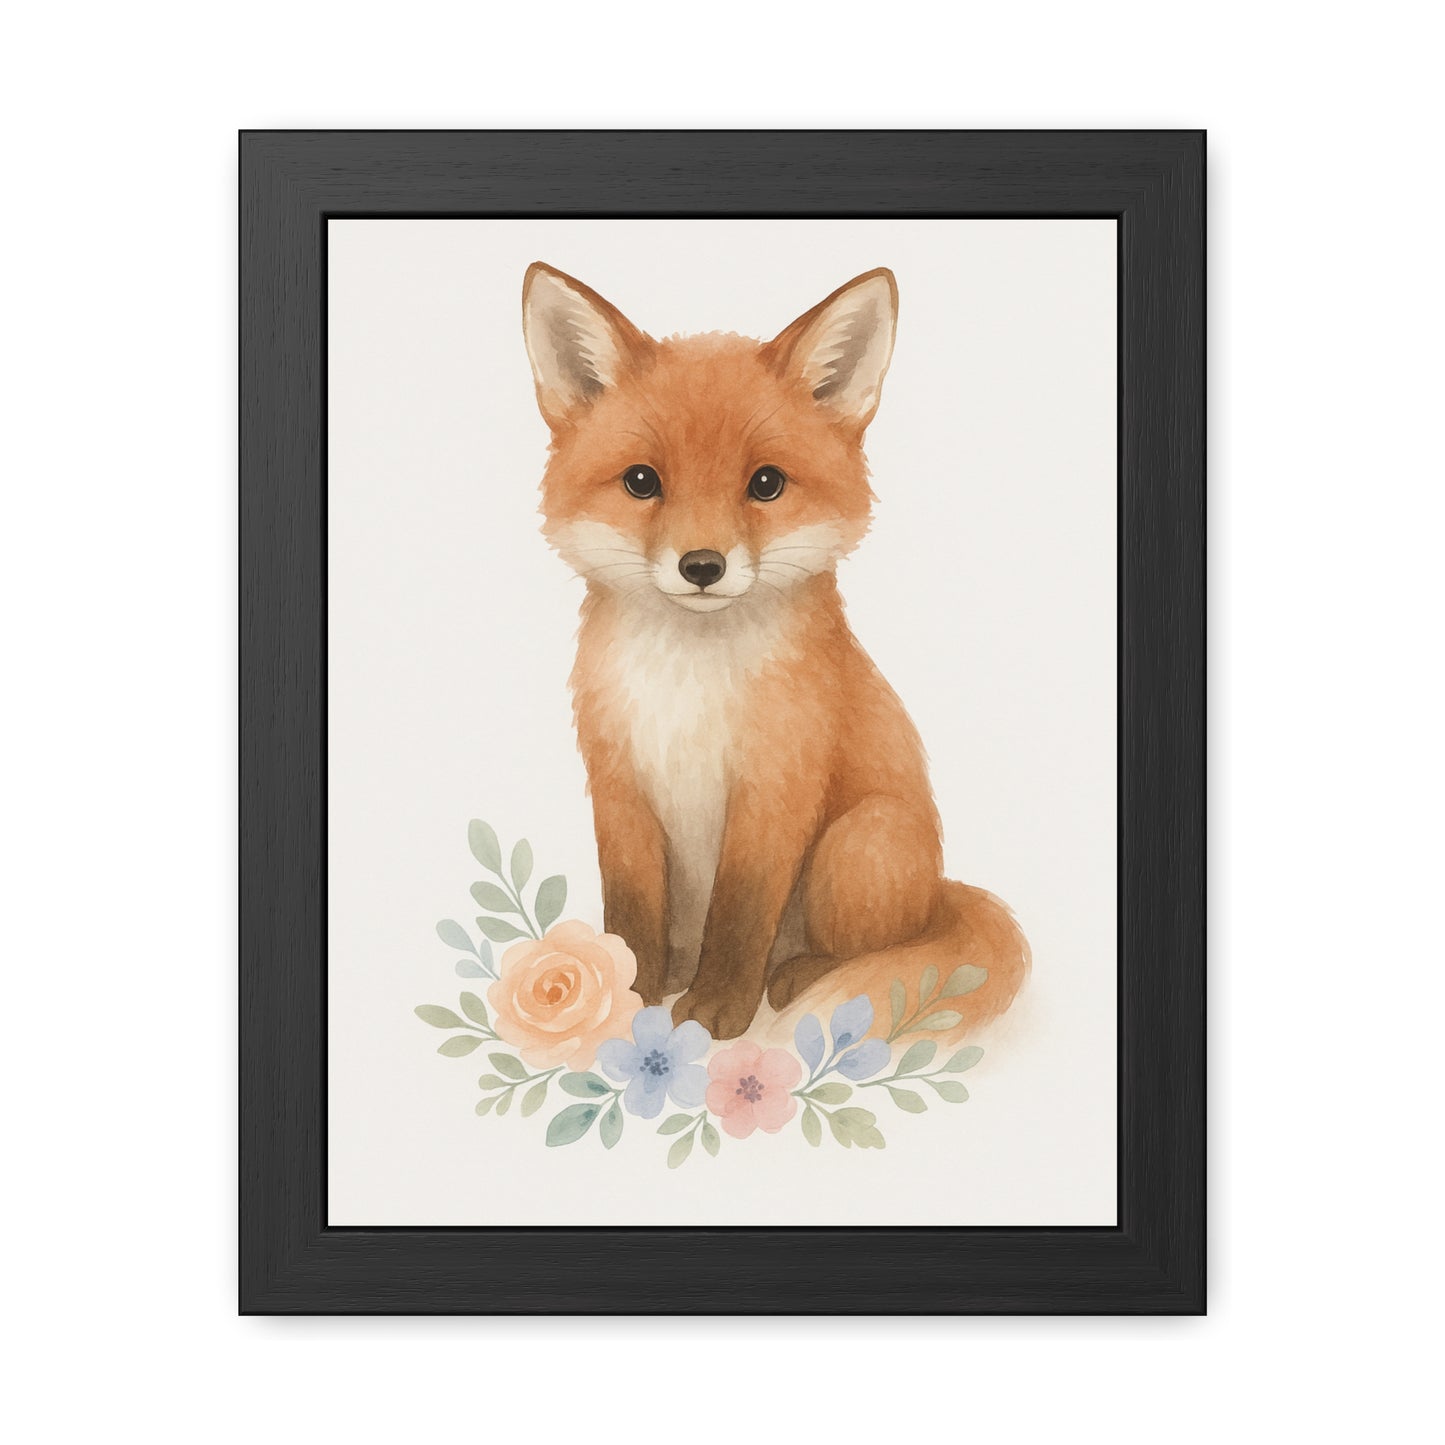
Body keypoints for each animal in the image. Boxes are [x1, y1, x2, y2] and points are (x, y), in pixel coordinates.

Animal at [521, 262, 1029, 1043]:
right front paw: (629, 994)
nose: (702, 565)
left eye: (765, 483)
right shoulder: (618, 784)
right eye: (642, 481)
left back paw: (799, 977)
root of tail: (938, 888)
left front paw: (717, 1011)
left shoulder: (776, 787)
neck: (688, 682)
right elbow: (630, 911)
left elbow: (741, 914)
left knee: (880, 945)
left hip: (860, 844)